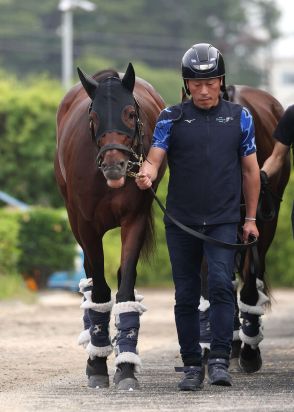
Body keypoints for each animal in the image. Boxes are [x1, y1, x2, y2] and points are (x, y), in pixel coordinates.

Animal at [54, 63, 167, 390]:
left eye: (130, 113)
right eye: (93, 118)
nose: (114, 166)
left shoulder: (135, 218)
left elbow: (125, 287)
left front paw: (126, 367)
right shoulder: (85, 225)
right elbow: (101, 292)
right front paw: (96, 364)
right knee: (92, 281)